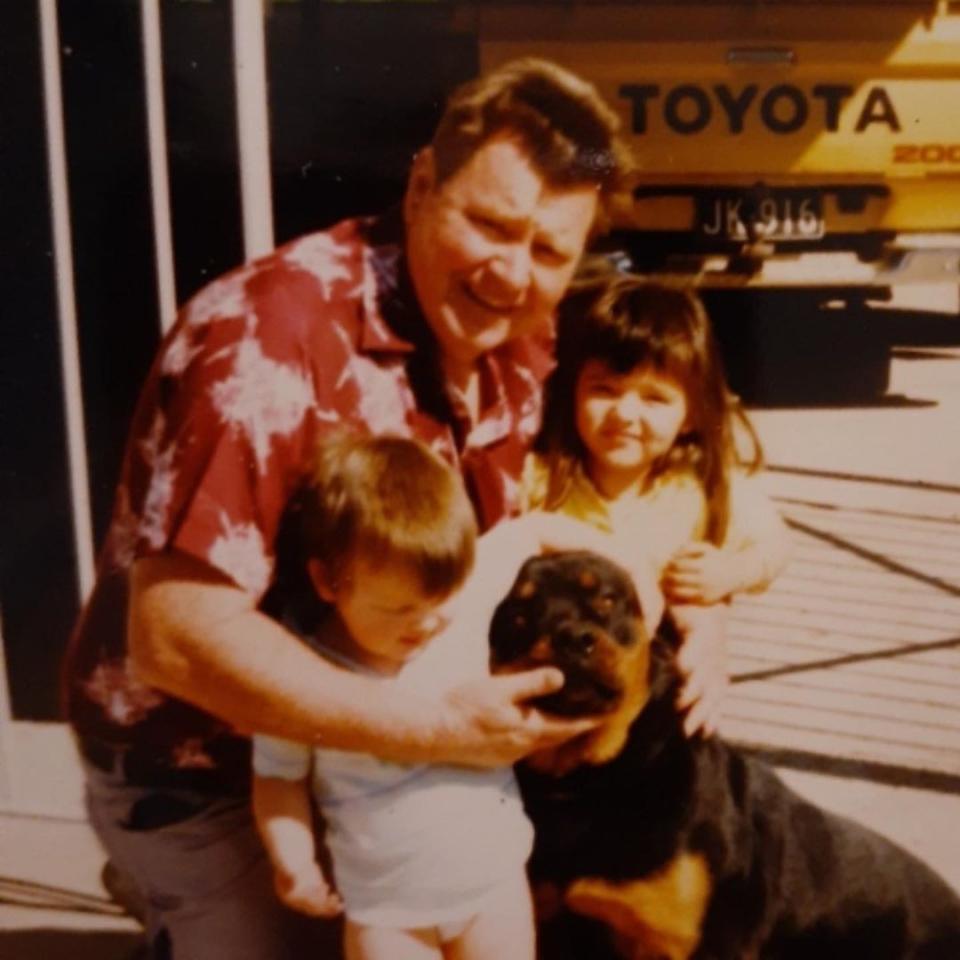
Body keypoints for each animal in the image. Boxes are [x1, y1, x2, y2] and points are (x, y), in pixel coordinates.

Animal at [492, 552, 960, 956]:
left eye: (607, 598)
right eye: (520, 615)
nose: (571, 639)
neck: (591, 779)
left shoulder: (705, 942)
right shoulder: (553, 923)